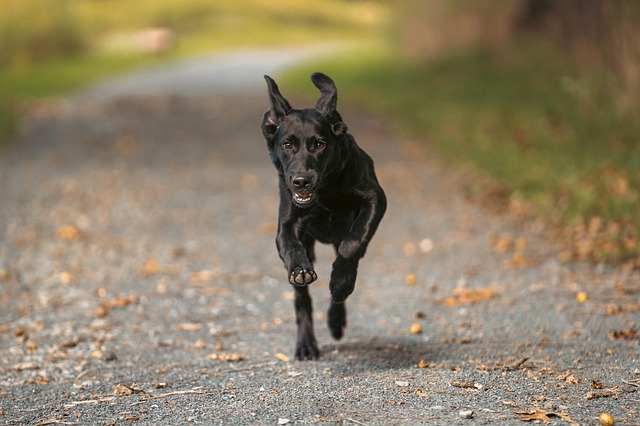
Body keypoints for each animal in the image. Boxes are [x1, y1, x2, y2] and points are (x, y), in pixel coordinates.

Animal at [260, 73, 384, 360]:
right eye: (287, 144)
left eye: (319, 144)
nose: (301, 181)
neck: (325, 191)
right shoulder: (287, 222)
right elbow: (290, 246)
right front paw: (300, 269)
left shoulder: (375, 199)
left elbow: (353, 243)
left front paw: (341, 282)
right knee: (302, 301)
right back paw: (306, 344)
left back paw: (337, 314)